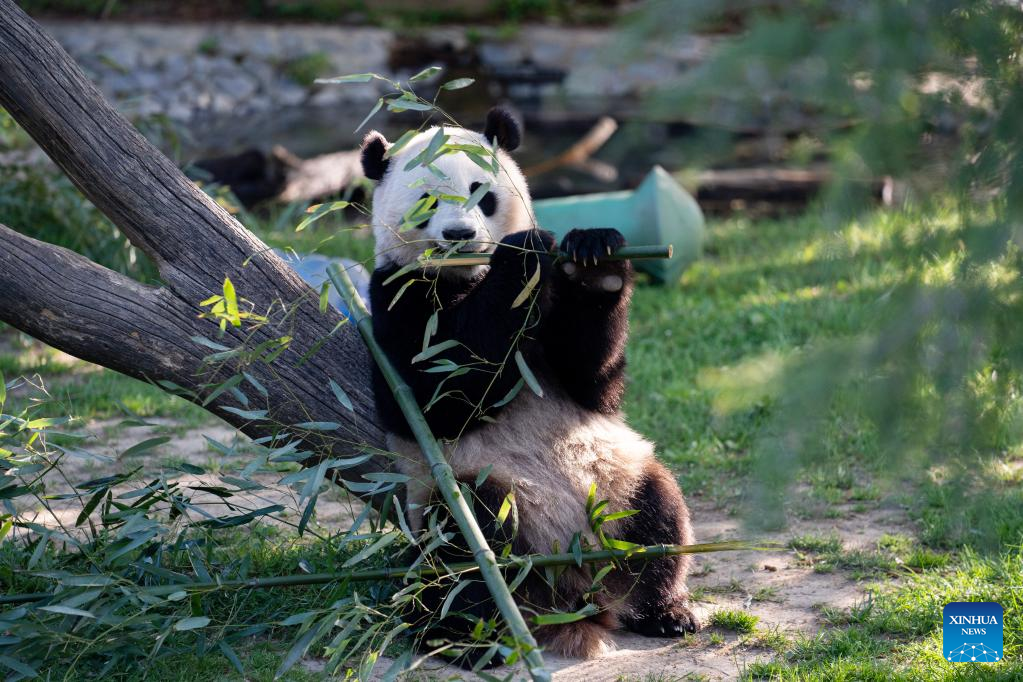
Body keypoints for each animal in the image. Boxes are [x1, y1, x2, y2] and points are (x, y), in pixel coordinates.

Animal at [362, 107, 703, 666]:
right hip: (471, 497)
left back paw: (665, 611)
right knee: (465, 549)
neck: (467, 277)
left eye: (481, 192)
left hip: (617, 481)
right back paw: (468, 637)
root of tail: (575, 588)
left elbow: (594, 381)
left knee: (658, 517)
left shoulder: (554, 324)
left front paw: (597, 259)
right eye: (427, 201)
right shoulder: (395, 296)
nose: (459, 234)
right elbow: (438, 394)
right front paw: (523, 254)